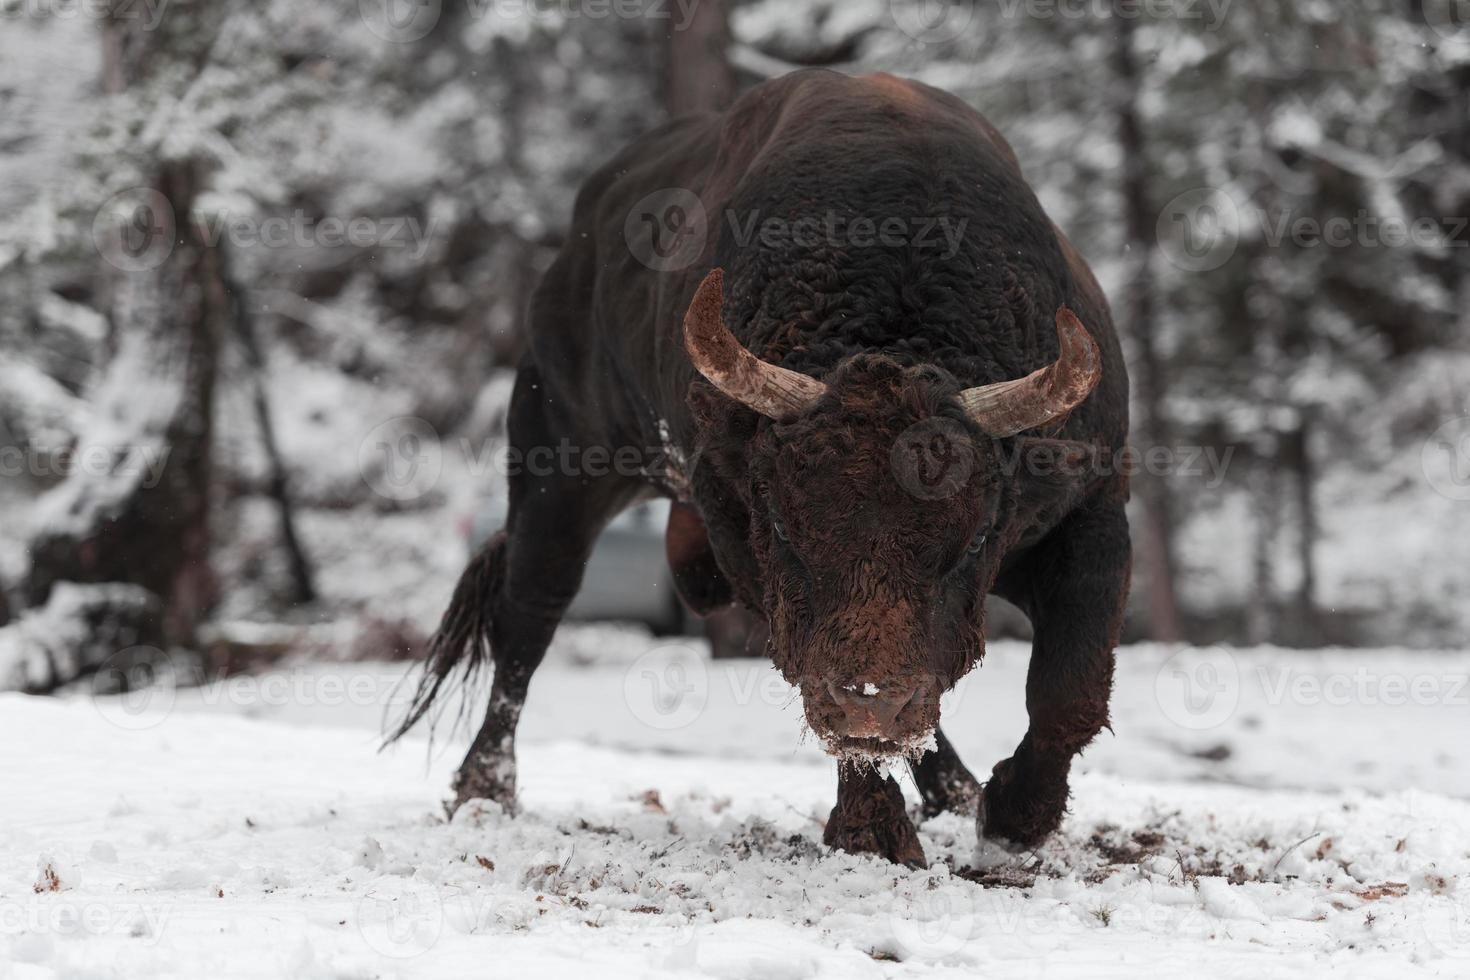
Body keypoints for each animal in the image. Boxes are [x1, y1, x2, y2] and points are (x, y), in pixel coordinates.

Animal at [385, 69, 1128, 863]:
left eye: (979, 534)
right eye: (782, 520)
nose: (873, 703)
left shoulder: (1092, 511)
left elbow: (1070, 687)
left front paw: (1013, 815)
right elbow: (814, 663)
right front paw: (876, 834)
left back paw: (954, 790)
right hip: (560, 472)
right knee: (528, 620)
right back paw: (482, 791)